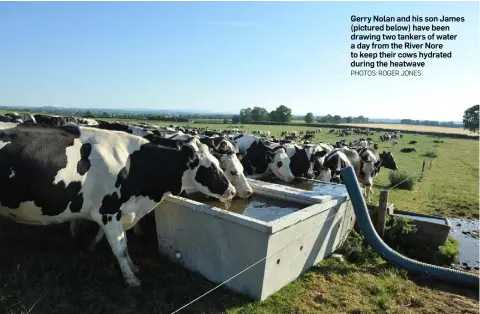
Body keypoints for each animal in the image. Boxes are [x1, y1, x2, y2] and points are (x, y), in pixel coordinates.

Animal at [0, 122, 236, 288]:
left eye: (218, 162)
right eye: (211, 167)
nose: (232, 191)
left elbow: (124, 244)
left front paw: (133, 266)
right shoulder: (109, 212)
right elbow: (120, 247)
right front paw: (130, 278)